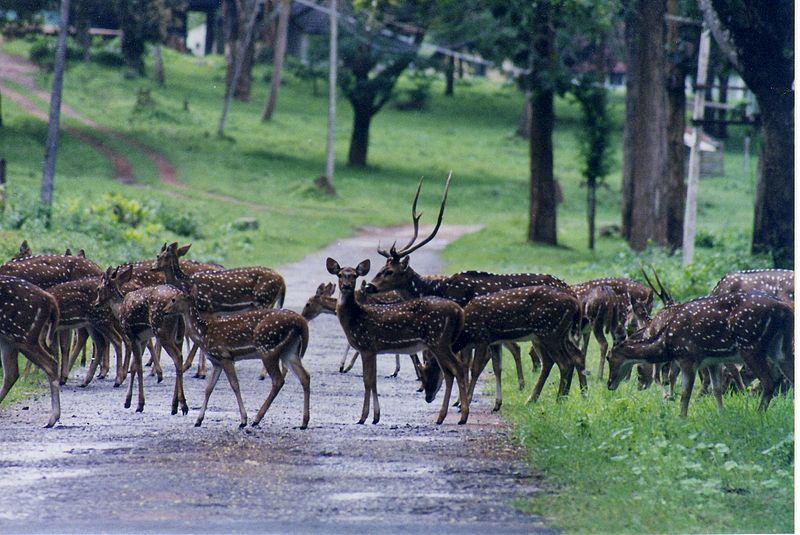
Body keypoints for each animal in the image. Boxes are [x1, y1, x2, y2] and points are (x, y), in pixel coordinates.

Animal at [0, 276, 61, 428]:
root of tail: (50, 299)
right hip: (9, 339)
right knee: (12, 373)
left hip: (23, 334)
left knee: (51, 363)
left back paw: (51, 419)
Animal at [164, 282, 310, 430]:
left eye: (173, 299)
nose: (164, 310)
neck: (204, 334)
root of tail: (301, 322)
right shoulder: (217, 361)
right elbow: (208, 388)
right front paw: (198, 420)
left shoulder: (225, 356)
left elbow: (235, 385)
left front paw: (243, 420)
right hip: (290, 351)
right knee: (305, 377)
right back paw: (304, 422)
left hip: (268, 348)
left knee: (278, 381)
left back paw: (256, 419)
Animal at [324, 258, 468, 426]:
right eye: (340, 274)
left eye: (354, 275)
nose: (346, 286)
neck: (355, 318)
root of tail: (459, 311)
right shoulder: (373, 350)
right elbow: (373, 381)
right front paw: (376, 417)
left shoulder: (366, 345)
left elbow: (367, 381)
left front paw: (362, 417)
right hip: (439, 343)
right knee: (448, 372)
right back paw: (442, 417)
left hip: (438, 340)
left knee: (458, 368)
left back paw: (463, 417)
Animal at [608, 288, 792, 418]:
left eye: (610, 358)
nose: (609, 384)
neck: (666, 343)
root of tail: (785, 309)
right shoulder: (712, 360)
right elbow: (716, 390)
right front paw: (722, 414)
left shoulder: (688, 358)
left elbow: (685, 394)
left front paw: (681, 418)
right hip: (781, 350)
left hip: (751, 346)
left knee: (770, 381)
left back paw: (758, 414)